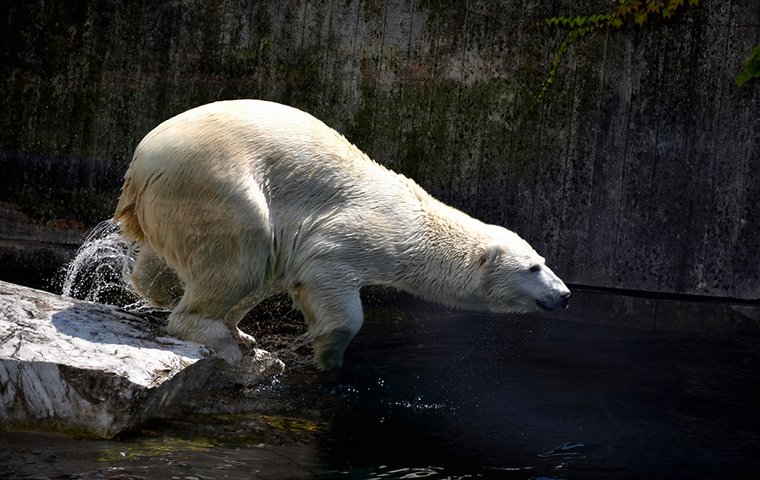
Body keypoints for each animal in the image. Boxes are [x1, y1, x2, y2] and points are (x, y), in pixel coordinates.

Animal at [114, 100, 568, 372]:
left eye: (544, 260)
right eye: (533, 267)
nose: (564, 295)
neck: (417, 219)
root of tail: (141, 162)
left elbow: (283, 273)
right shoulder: (360, 233)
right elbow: (327, 276)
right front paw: (328, 357)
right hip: (215, 185)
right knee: (243, 250)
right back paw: (221, 341)